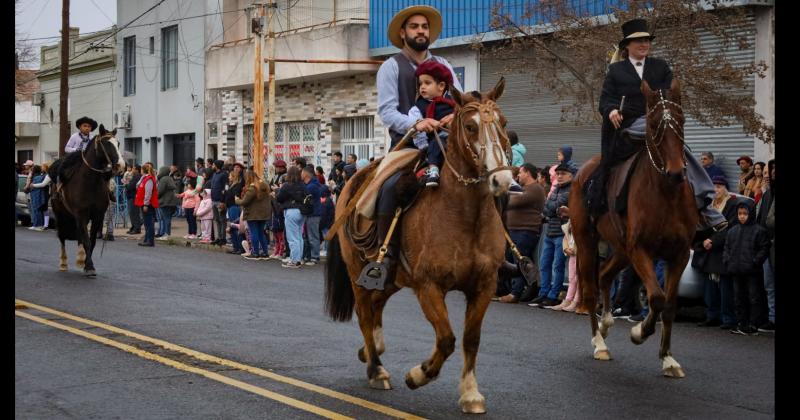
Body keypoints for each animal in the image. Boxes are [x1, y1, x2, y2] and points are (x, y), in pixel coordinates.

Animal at [324, 79, 512, 414]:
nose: (502, 180)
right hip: (358, 271)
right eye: (470, 126)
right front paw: (418, 374)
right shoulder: (429, 286)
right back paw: (376, 369)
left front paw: (471, 393)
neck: (465, 216)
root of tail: (352, 181)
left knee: (376, 307)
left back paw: (371, 351)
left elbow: (471, 338)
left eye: (502, 123)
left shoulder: (484, 285)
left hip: (392, 277)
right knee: (365, 312)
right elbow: (447, 338)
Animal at [568, 79, 692, 378]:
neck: (666, 194)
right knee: (591, 289)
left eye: (681, 119)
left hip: (622, 249)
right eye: (654, 123)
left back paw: (606, 323)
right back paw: (599, 342)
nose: (676, 172)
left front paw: (668, 358)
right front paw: (639, 332)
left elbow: (669, 305)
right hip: (588, 241)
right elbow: (657, 298)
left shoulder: (680, 254)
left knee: (604, 275)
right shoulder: (641, 250)